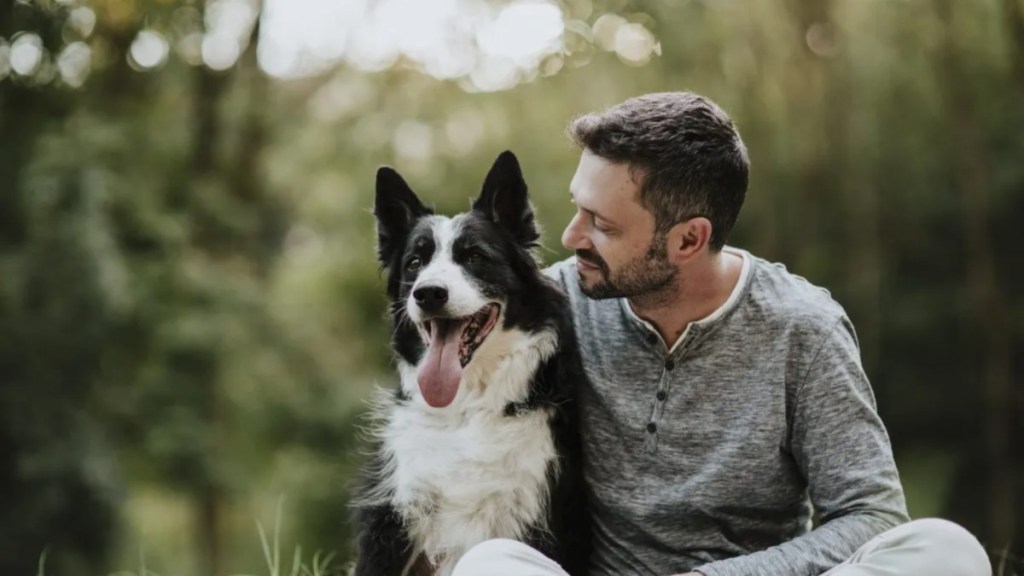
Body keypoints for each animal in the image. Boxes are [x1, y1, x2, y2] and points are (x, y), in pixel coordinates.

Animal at [354, 152, 589, 573]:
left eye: (475, 257)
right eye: (414, 262)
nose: (428, 293)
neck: (466, 408)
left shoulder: (538, 517)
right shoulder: (394, 519)